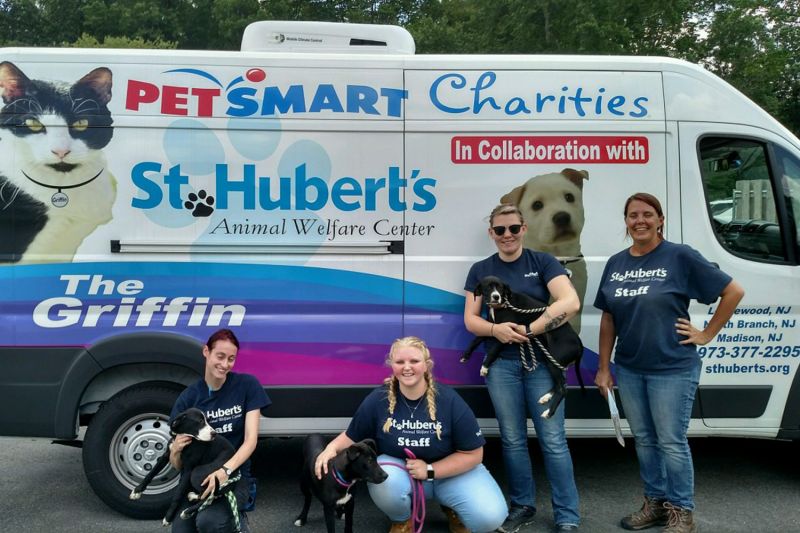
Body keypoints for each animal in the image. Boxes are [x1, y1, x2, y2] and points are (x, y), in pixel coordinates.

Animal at [462, 274, 588, 420]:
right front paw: (466, 355)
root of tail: (580, 344)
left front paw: (485, 367)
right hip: (550, 359)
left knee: (563, 388)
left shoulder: (506, 333)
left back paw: (548, 412)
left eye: (500, 287)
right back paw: (546, 397)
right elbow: (476, 339)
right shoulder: (495, 329)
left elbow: (493, 350)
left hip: (553, 360)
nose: (496, 296)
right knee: (560, 384)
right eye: (488, 287)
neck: (503, 304)